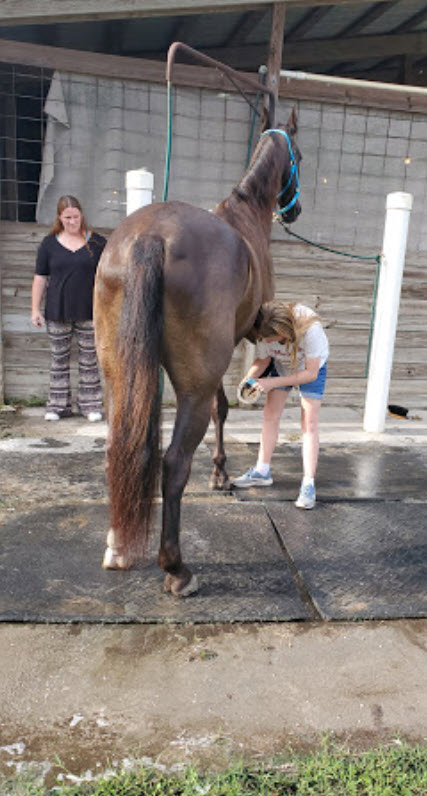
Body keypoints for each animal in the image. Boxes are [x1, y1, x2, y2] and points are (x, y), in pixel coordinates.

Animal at [94, 107, 300, 596]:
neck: (246, 214)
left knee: (118, 448)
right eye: (299, 156)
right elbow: (223, 408)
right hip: (193, 383)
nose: (296, 209)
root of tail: (150, 237)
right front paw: (221, 474)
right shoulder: (244, 341)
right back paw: (176, 568)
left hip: (118, 375)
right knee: (173, 462)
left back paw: (117, 548)